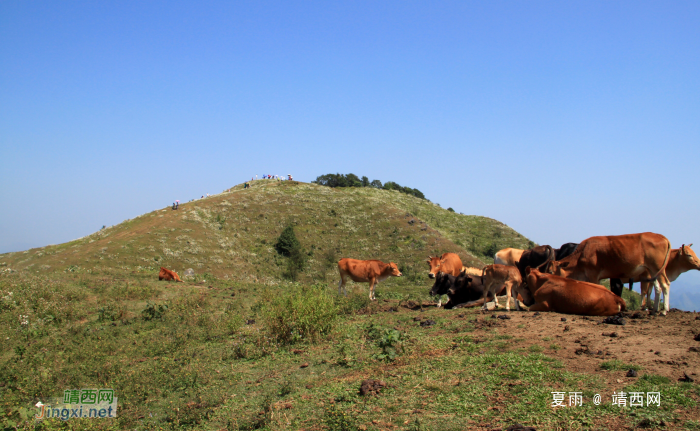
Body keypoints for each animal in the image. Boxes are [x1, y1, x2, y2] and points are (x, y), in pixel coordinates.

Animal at [540, 233, 672, 314]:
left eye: (551, 271)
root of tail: (663, 237)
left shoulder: (593, 275)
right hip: (653, 271)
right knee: (658, 287)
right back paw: (655, 309)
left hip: (657, 267)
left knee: (665, 285)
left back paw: (664, 310)